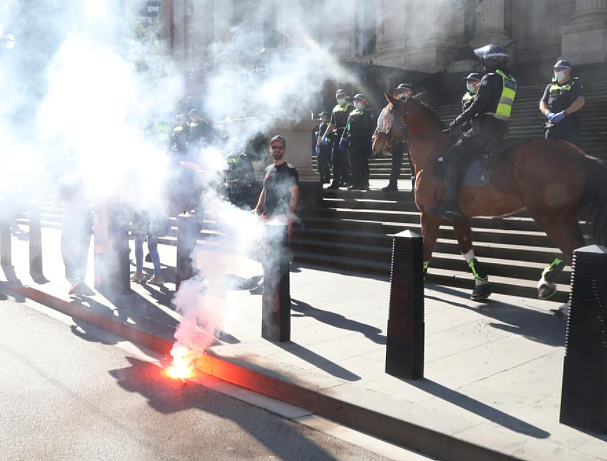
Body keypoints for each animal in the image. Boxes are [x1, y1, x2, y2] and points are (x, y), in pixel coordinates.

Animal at [372, 93, 607, 302]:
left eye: (386, 114)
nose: (375, 143)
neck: (433, 154)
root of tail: (581, 156)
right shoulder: (458, 216)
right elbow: (466, 249)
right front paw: (481, 286)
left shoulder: (429, 214)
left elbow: (427, 248)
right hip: (565, 217)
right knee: (578, 249)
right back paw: (550, 281)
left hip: (551, 218)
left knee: (573, 250)